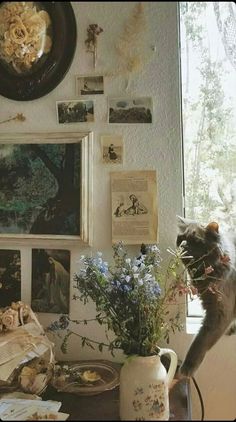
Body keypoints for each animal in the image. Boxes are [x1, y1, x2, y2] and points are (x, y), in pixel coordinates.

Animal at [175, 216, 236, 378]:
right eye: (181, 238)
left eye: (196, 240)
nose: (183, 245)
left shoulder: (220, 311)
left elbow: (201, 340)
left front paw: (187, 368)